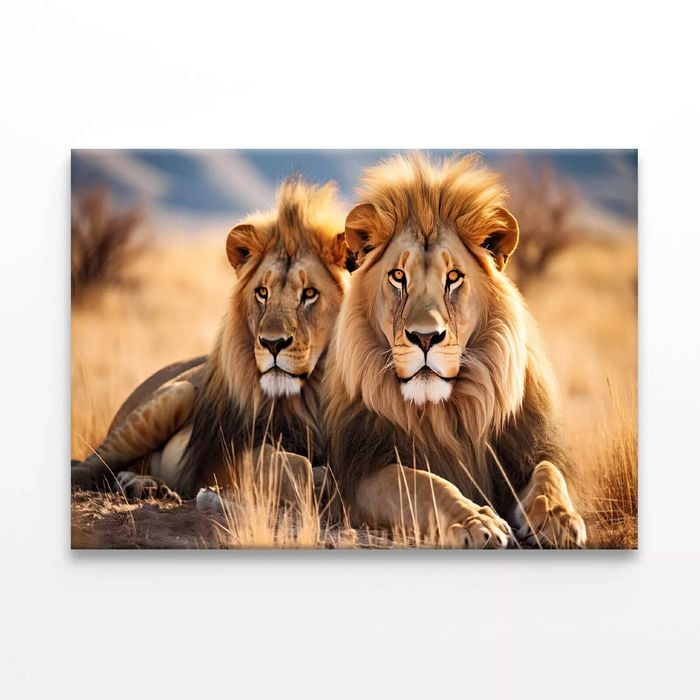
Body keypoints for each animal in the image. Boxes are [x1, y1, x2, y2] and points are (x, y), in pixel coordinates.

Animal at [71, 178, 349, 504]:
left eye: (309, 294)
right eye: (262, 292)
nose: (272, 343)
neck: (311, 394)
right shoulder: (233, 451)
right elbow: (288, 464)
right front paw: (317, 480)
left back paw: (145, 485)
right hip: (176, 394)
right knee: (95, 461)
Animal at [323, 154, 586, 549]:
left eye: (453, 278)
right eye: (398, 276)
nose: (425, 337)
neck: (447, 413)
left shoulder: (525, 447)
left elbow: (549, 471)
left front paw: (558, 517)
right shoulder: (359, 473)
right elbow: (420, 483)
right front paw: (477, 521)